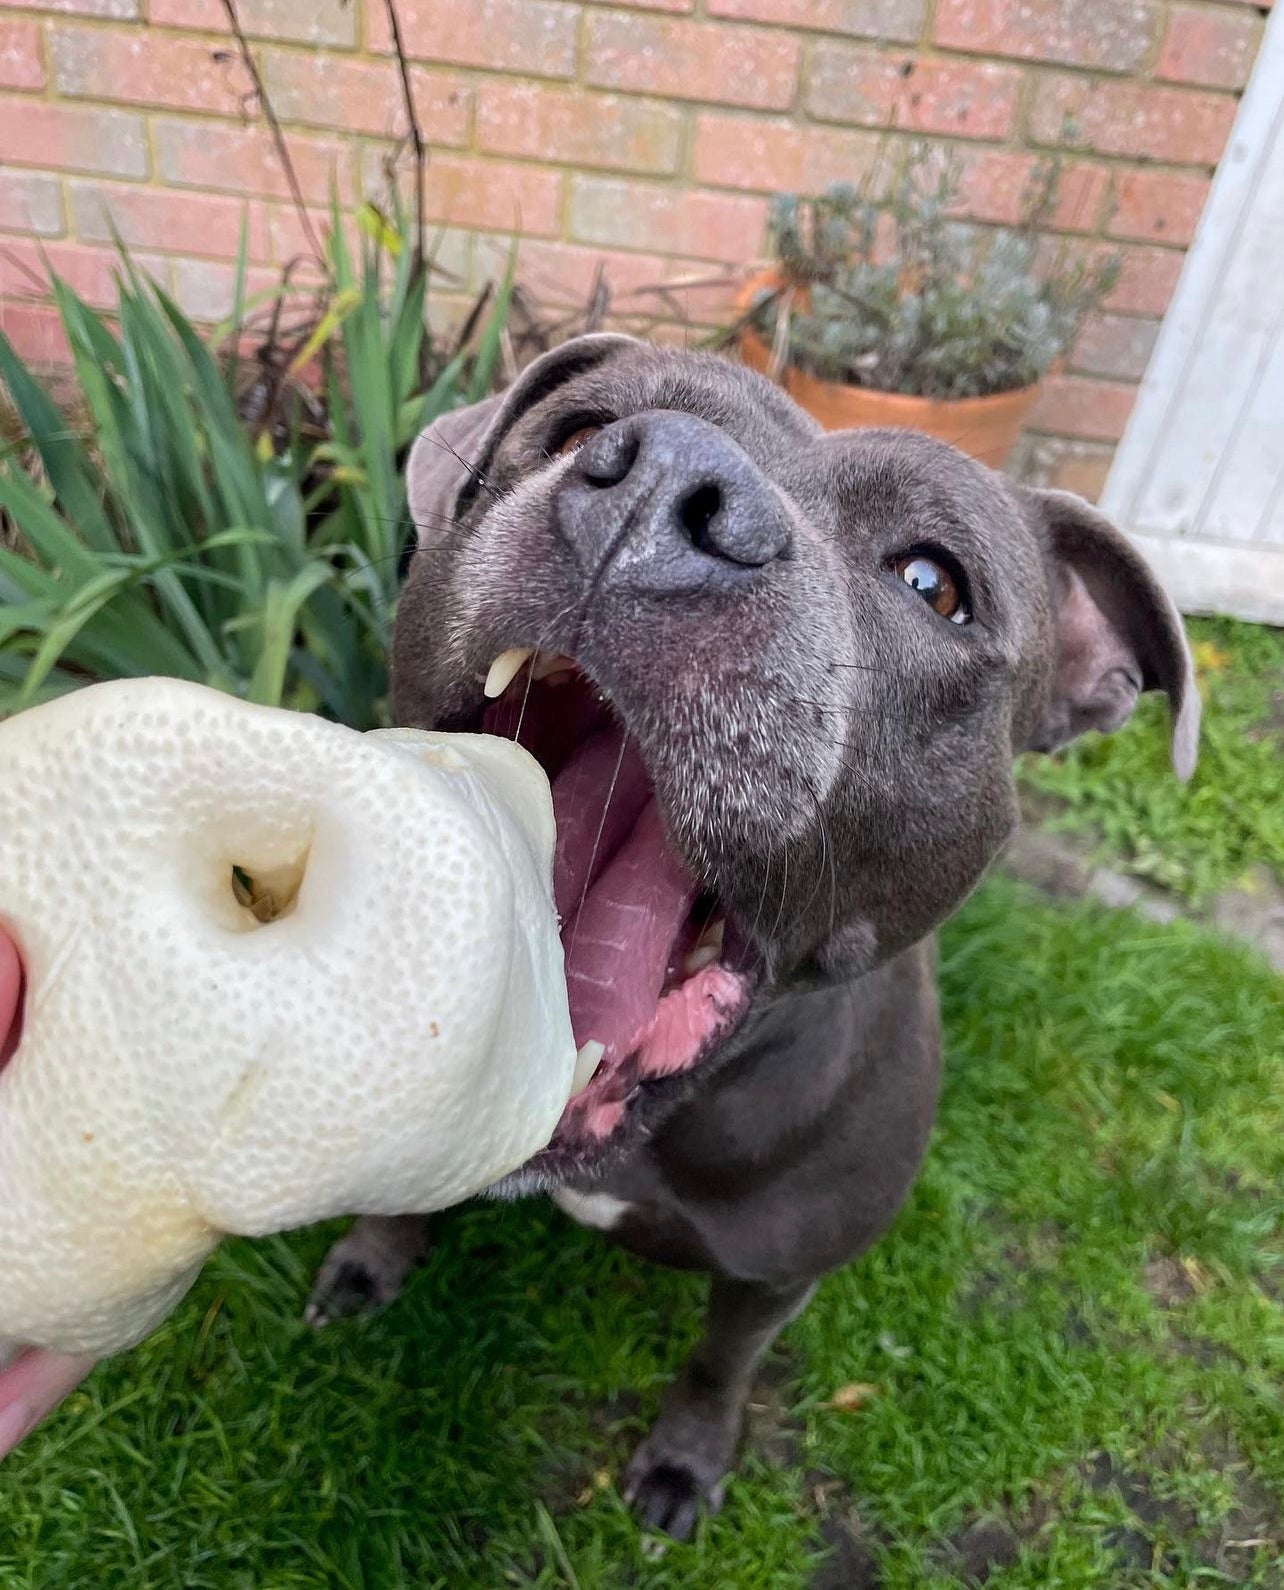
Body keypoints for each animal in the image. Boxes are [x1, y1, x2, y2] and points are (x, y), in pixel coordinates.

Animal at [306, 332, 1201, 1539]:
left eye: (934, 584)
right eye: (582, 428)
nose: (663, 483)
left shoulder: (776, 1274)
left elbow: (719, 1366)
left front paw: (685, 1461)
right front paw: (371, 1257)